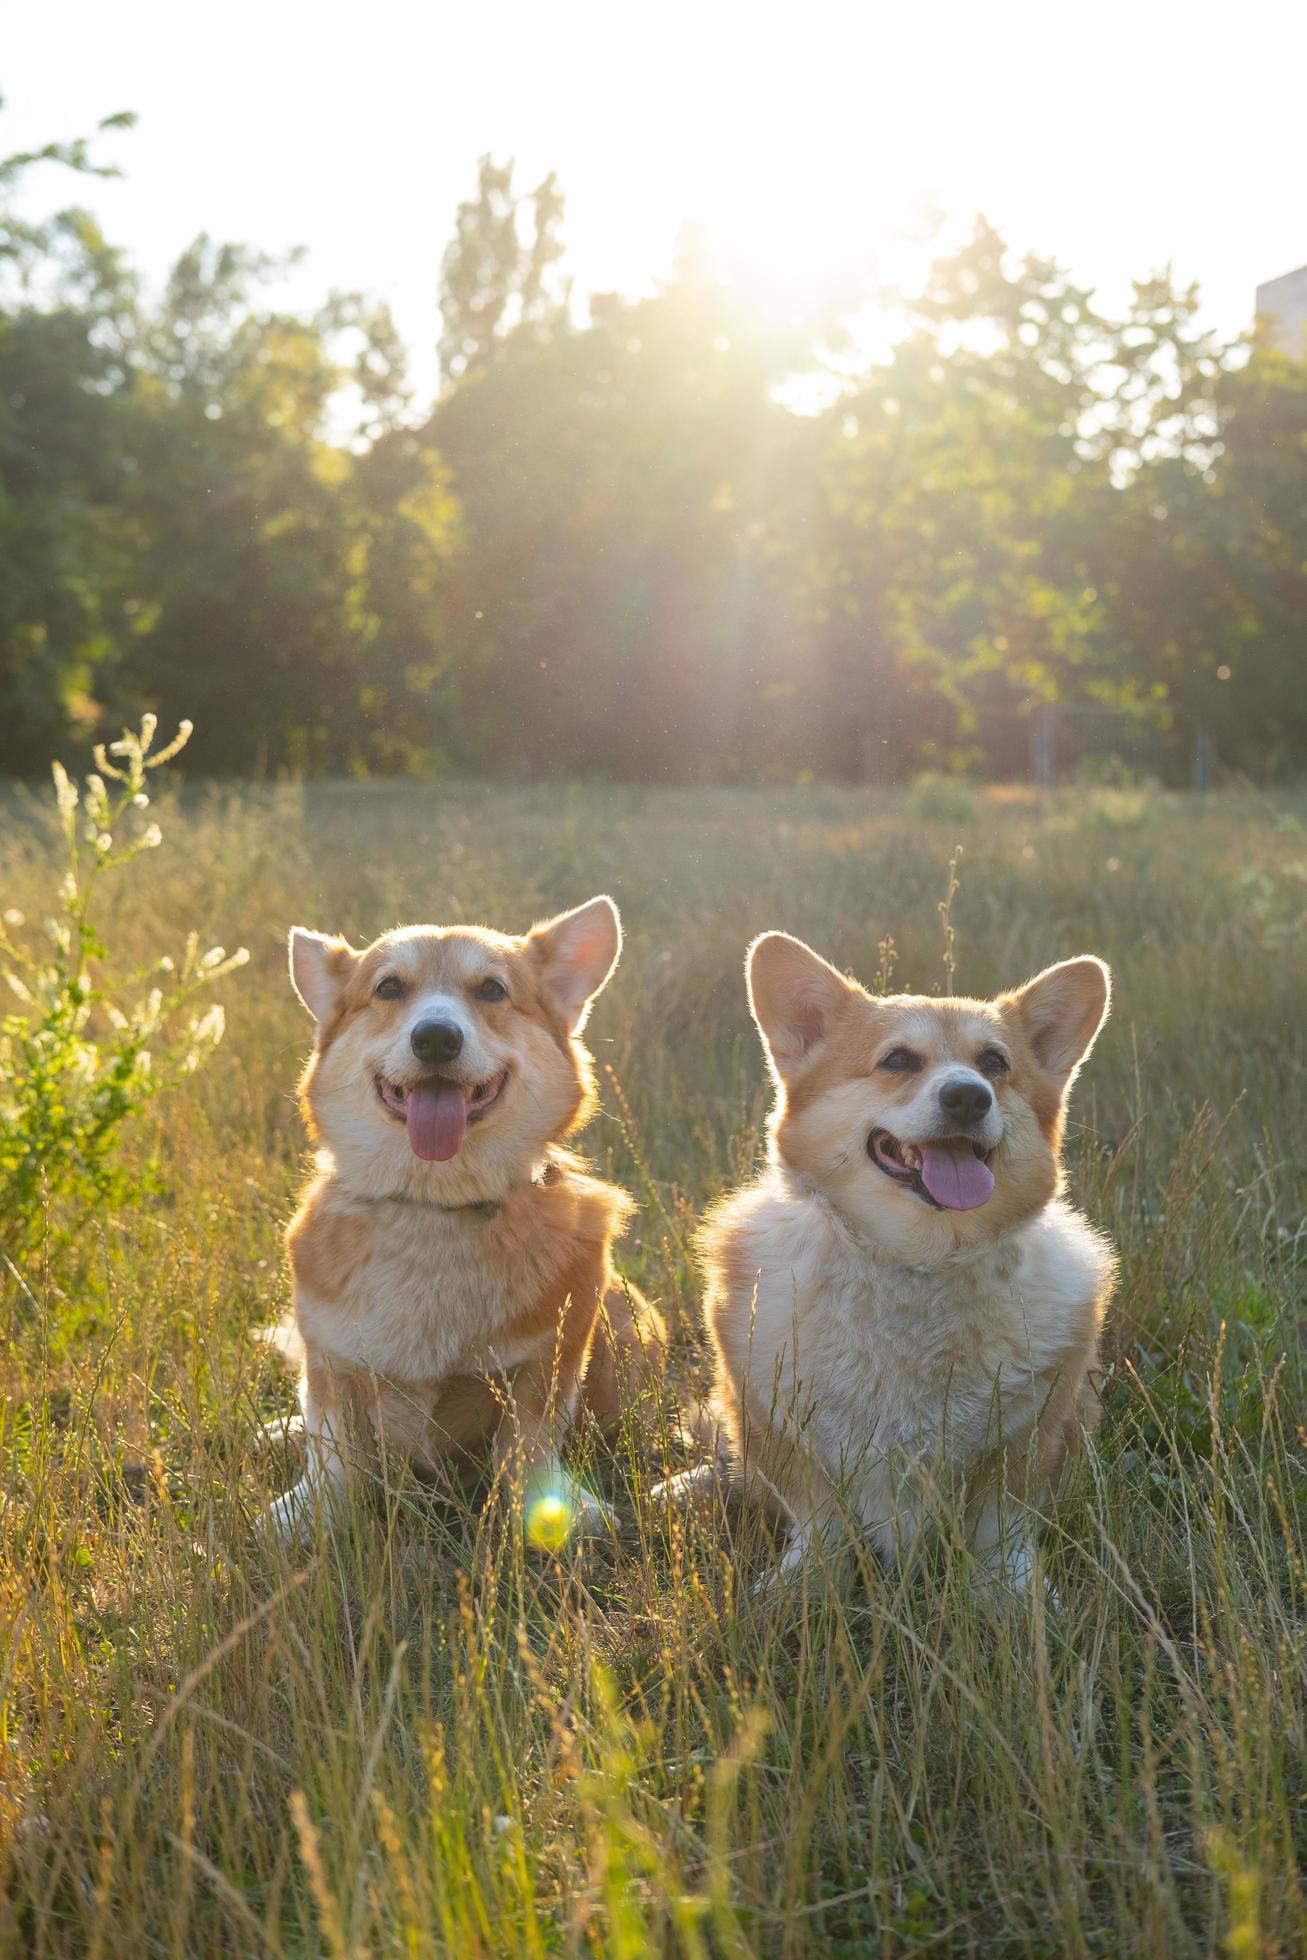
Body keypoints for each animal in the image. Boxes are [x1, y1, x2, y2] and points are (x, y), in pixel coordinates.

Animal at [264, 893, 666, 1544]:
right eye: (388, 987)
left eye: (493, 990)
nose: (435, 1039)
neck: (435, 1209)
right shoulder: (331, 1361)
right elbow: (332, 1450)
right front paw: (309, 1515)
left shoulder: (545, 1363)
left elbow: (527, 1444)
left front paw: (554, 1513)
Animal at [693, 932, 1113, 1591]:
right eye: (897, 1060)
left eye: (995, 1063)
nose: (968, 1096)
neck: (919, 1265)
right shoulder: (786, 1435)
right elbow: (820, 1526)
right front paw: (794, 1591)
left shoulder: (1025, 1439)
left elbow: (1000, 1533)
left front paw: (1015, 1597)